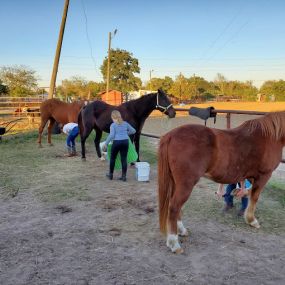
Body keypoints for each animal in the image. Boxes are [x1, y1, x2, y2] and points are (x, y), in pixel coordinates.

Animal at [158, 111, 284, 253]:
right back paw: (174, 244)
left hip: (175, 183)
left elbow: (248, 192)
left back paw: (182, 231)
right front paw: (252, 220)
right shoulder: (263, 176)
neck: (269, 136)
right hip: (186, 184)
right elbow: (254, 197)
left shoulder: (250, 176)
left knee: (175, 205)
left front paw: (237, 192)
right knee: (174, 207)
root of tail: (170, 135)